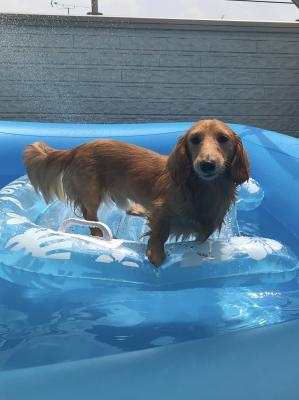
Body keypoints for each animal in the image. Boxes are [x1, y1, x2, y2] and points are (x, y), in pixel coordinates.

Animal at [23, 120, 250, 268]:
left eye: (223, 138)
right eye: (195, 139)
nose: (207, 164)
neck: (203, 189)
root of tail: (77, 148)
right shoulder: (161, 211)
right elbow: (159, 232)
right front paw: (155, 253)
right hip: (91, 193)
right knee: (90, 216)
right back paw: (98, 234)